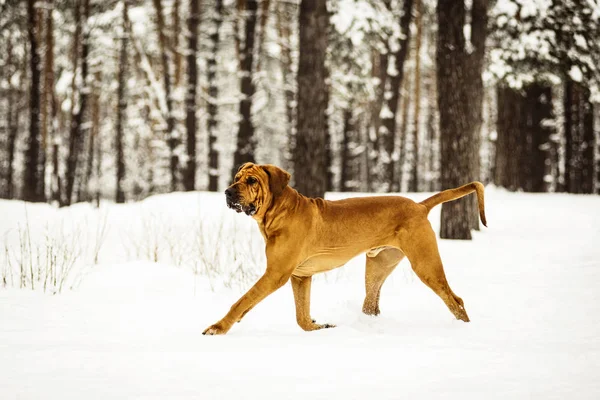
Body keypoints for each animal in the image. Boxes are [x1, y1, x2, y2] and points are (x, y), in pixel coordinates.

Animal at [204, 162, 486, 334]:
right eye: (236, 178)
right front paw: (320, 327)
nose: (228, 192)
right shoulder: (301, 276)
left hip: (426, 264)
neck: (279, 211)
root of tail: (420, 206)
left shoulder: (276, 274)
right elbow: (301, 316)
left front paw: (218, 327)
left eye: (252, 180)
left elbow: (242, 300)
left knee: (456, 300)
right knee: (371, 305)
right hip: (377, 266)